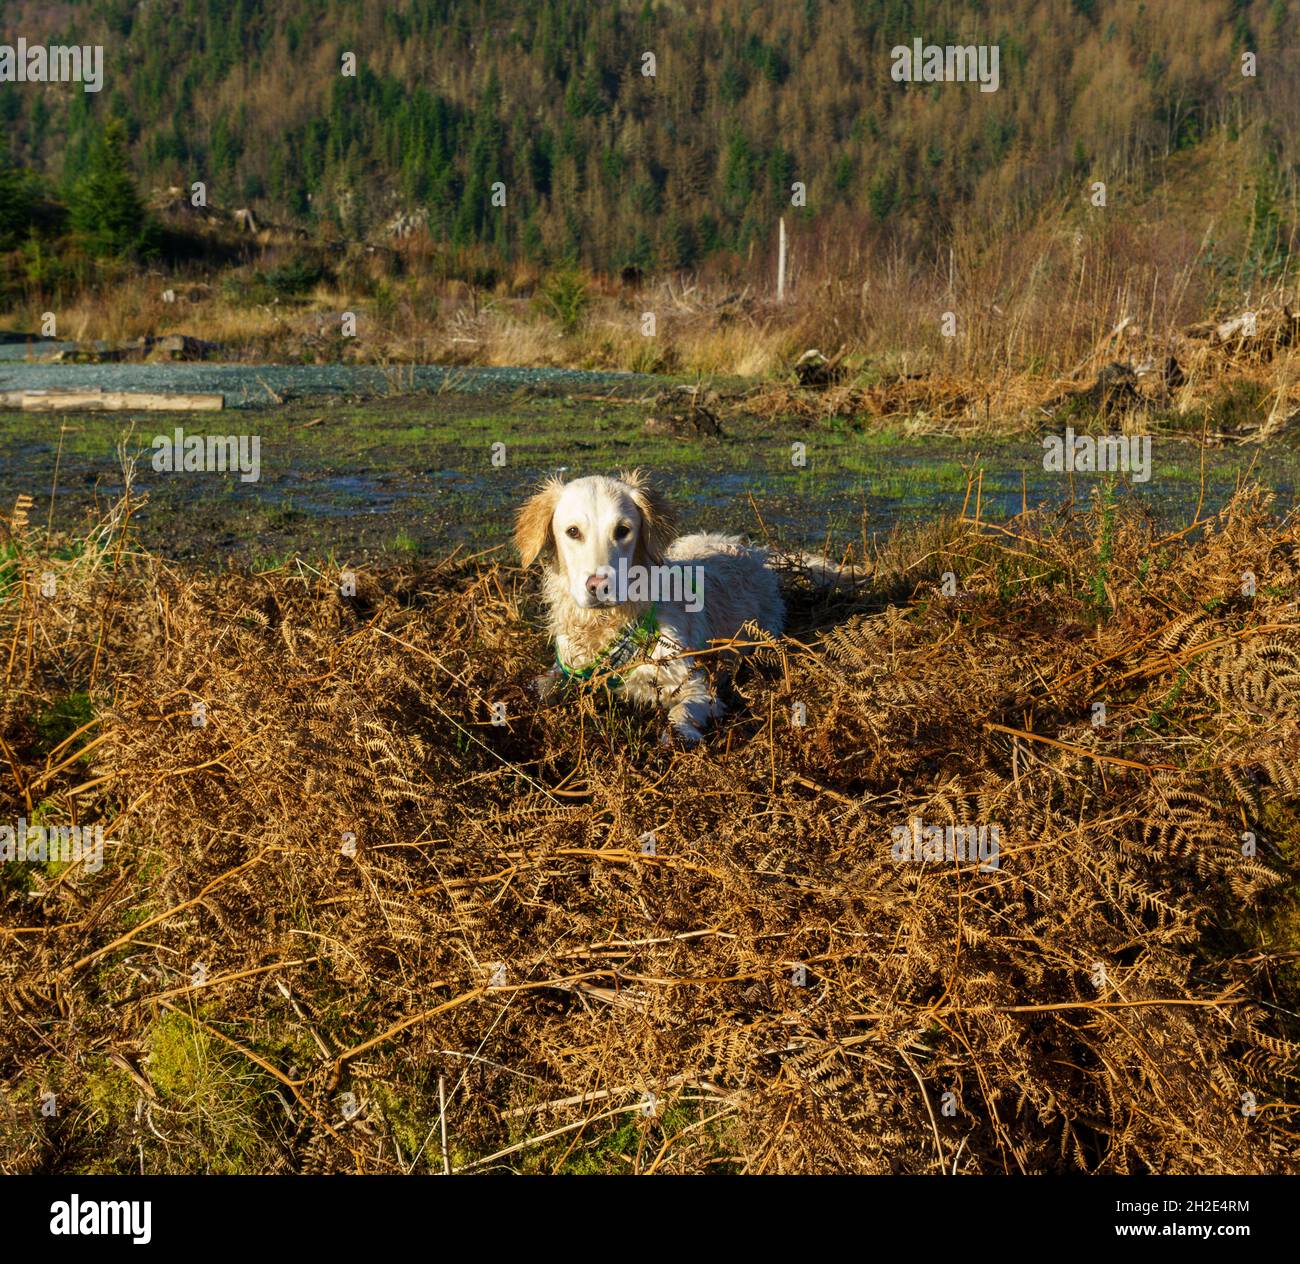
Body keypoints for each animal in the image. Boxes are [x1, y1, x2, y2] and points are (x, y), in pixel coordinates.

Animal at [514, 470, 780, 738]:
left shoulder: (697, 686)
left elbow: (680, 712)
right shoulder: (564, 667)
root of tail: (751, 549)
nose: (599, 586)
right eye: (573, 531)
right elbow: (543, 685)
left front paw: (677, 736)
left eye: (622, 530)